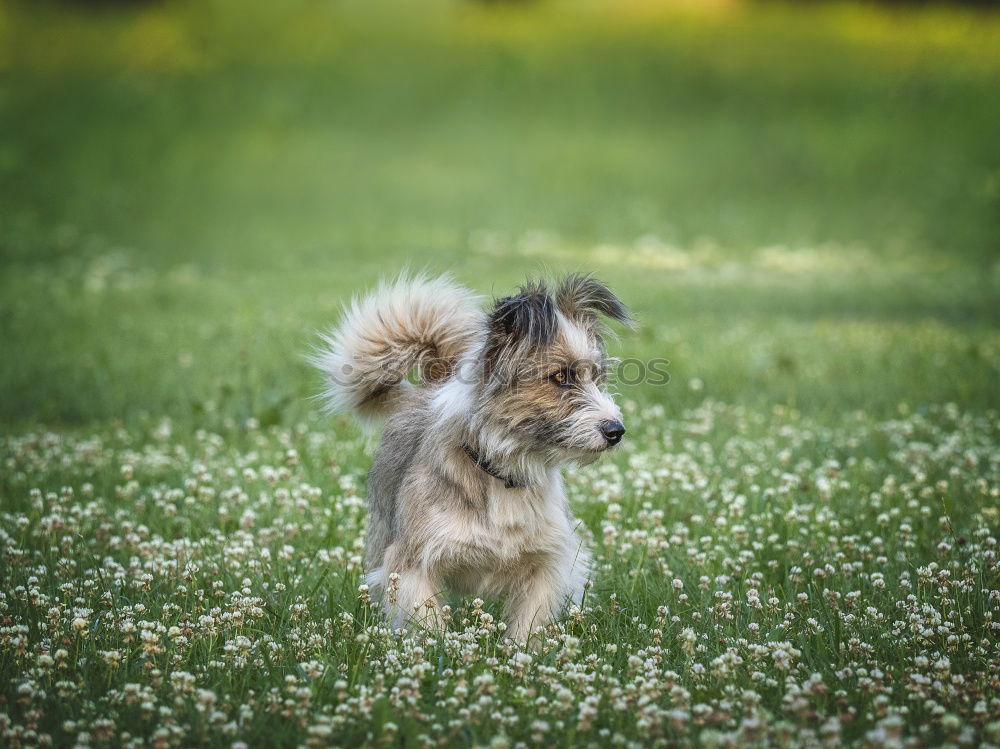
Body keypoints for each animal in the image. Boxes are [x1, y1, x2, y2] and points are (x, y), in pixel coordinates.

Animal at [316, 274, 628, 644]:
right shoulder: (413, 564)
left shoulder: (546, 562)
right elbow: (429, 627)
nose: (616, 430)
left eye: (596, 377)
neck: (503, 474)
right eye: (560, 377)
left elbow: (528, 626)